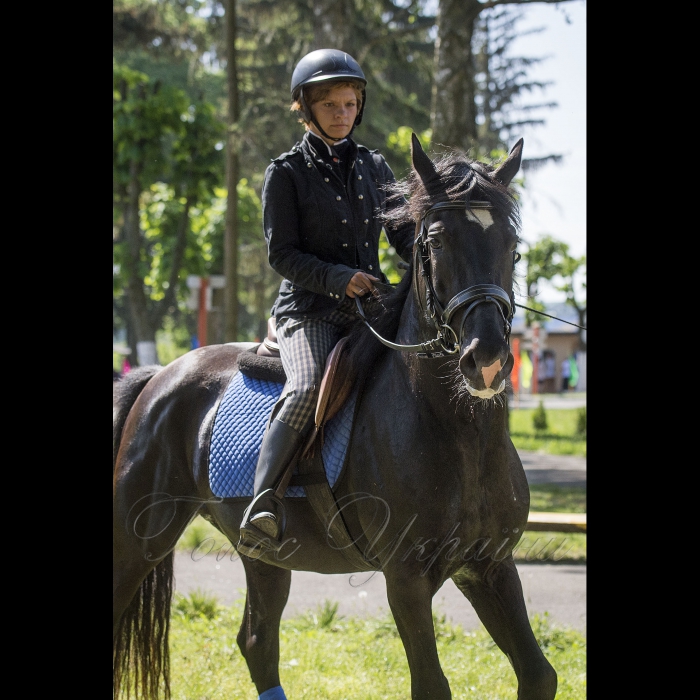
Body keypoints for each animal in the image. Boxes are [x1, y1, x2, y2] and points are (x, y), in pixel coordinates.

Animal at [112, 134, 556, 696]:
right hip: (136, 539)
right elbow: (432, 684)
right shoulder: (406, 579)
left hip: (263, 556)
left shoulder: (490, 565)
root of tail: (158, 376)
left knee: (257, 642)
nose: (490, 359)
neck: (460, 436)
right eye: (435, 243)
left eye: (513, 246)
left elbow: (538, 674)